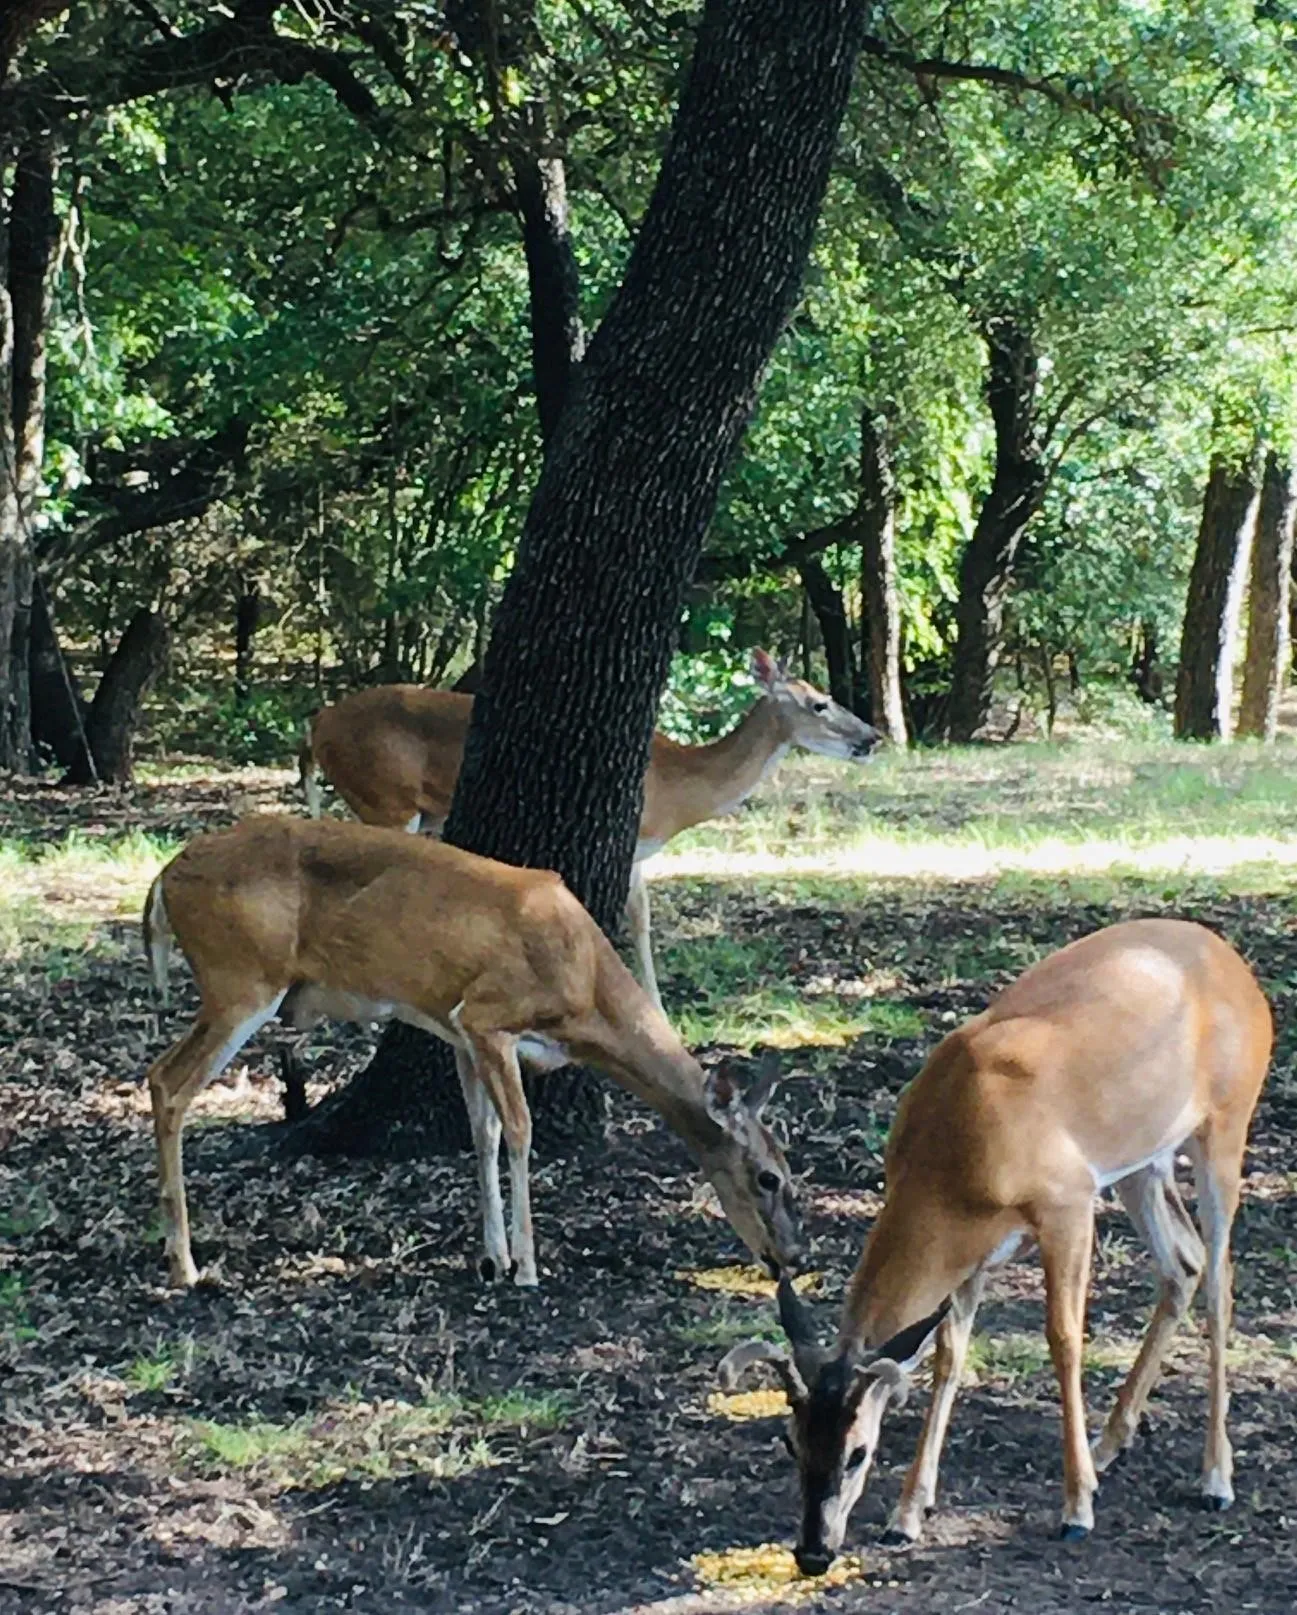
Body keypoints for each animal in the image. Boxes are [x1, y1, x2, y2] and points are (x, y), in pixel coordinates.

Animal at [140, 815, 801, 1291]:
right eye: (768, 1177)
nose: (791, 1255)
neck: (586, 986)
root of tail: (164, 879)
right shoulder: (487, 1017)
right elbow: (520, 1131)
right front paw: (527, 1267)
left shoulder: (458, 1033)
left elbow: (482, 1133)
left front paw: (494, 1258)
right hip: (241, 980)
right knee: (167, 1081)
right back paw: (185, 1265)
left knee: (159, 1075)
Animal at [298, 649, 881, 1011]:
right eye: (819, 703)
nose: (872, 736)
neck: (679, 786)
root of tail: (317, 724)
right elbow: (629, 917)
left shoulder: (640, 850)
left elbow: (641, 919)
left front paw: (656, 1004)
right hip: (384, 795)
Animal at [717, 919, 1271, 1575]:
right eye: (790, 1440)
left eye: (858, 1452)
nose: (812, 1552)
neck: (958, 1153)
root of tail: (1234, 962)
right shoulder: (970, 1251)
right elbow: (947, 1356)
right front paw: (907, 1515)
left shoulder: (1067, 1202)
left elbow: (1064, 1340)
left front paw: (1076, 1508)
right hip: (1142, 1164)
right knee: (1183, 1263)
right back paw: (1110, 1443)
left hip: (1225, 1125)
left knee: (1219, 1280)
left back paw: (1215, 1478)